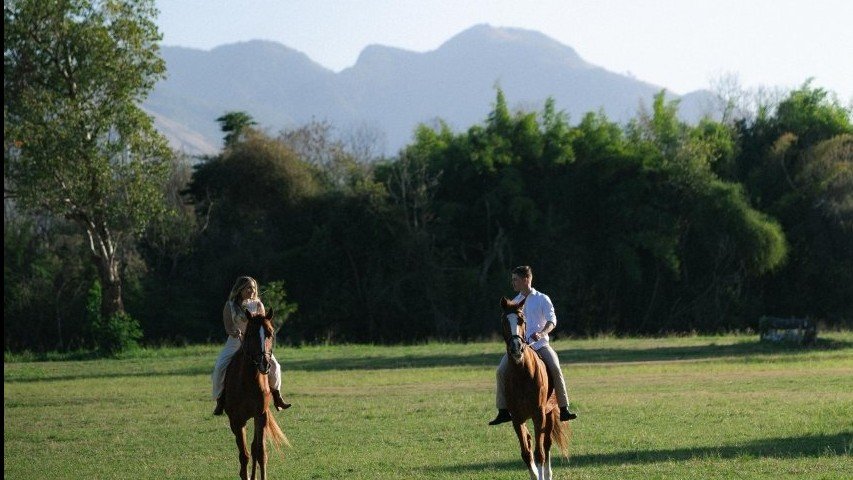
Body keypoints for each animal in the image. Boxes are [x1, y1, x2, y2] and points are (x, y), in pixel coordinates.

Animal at [222, 308, 289, 480]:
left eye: (270, 333)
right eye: (251, 334)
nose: (264, 364)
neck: (248, 382)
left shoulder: (261, 416)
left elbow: (260, 452)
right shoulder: (237, 420)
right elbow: (243, 455)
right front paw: (244, 475)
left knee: (255, 448)